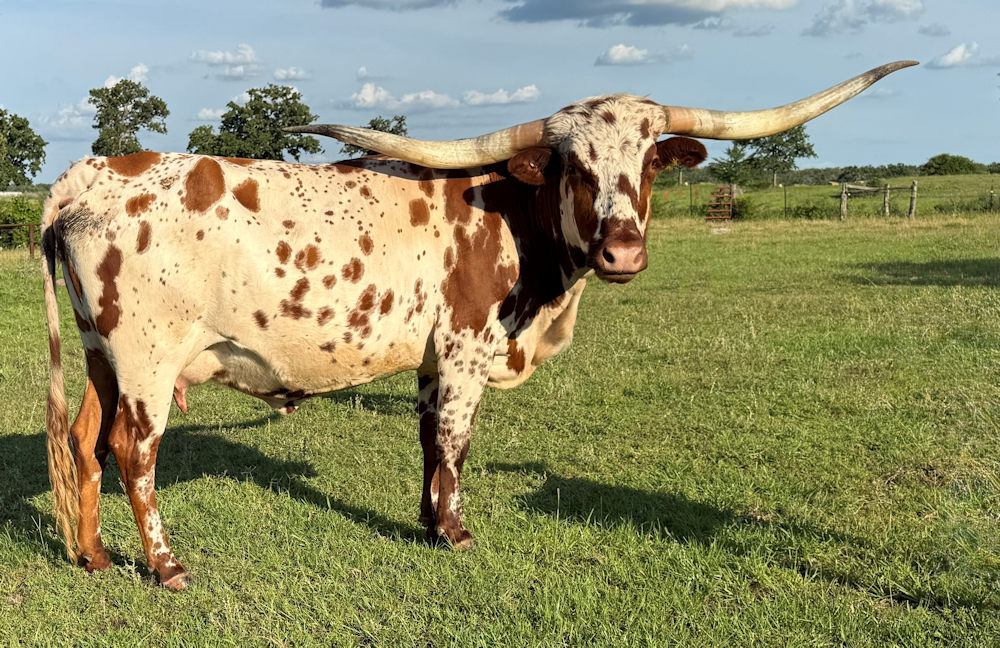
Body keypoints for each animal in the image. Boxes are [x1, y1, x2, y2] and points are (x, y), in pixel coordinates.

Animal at [42, 61, 915, 590]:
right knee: (132, 451)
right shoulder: (466, 349)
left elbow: (432, 441)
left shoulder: (435, 360)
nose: (623, 249)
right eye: (573, 167)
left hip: (98, 354)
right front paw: (457, 532)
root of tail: (91, 173)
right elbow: (459, 442)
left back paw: (94, 555)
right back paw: (165, 566)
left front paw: (429, 521)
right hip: (148, 359)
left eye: (647, 163)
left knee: (84, 441)